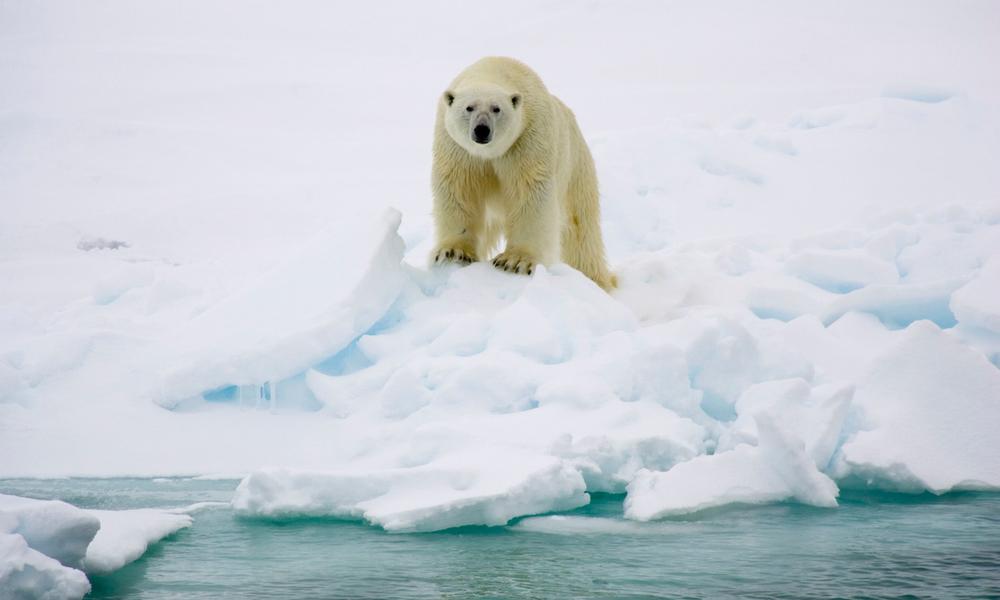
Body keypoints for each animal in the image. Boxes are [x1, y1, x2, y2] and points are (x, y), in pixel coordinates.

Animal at [430, 56, 616, 291]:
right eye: (469, 107)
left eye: (497, 109)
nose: (482, 130)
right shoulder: (457, 148)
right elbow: (459, 189)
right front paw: (453, 252)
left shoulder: (528, 138)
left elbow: (530, 194)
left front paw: (514, 261)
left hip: (575, 167)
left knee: (581, 230)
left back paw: (595, 279)